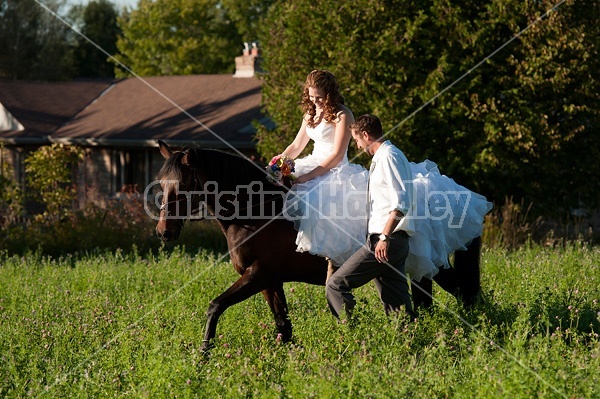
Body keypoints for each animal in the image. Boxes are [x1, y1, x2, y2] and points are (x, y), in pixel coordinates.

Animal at [156, 141, 482, 350]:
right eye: (160, 184)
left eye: (182, 186)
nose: (163, 232)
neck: (256, 212)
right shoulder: (269, 281)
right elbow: (283, 326)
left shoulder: (258, 275)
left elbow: (215, 306)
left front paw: (203, 355)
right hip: (421, 269)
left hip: (433, 265)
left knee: (464, 292)